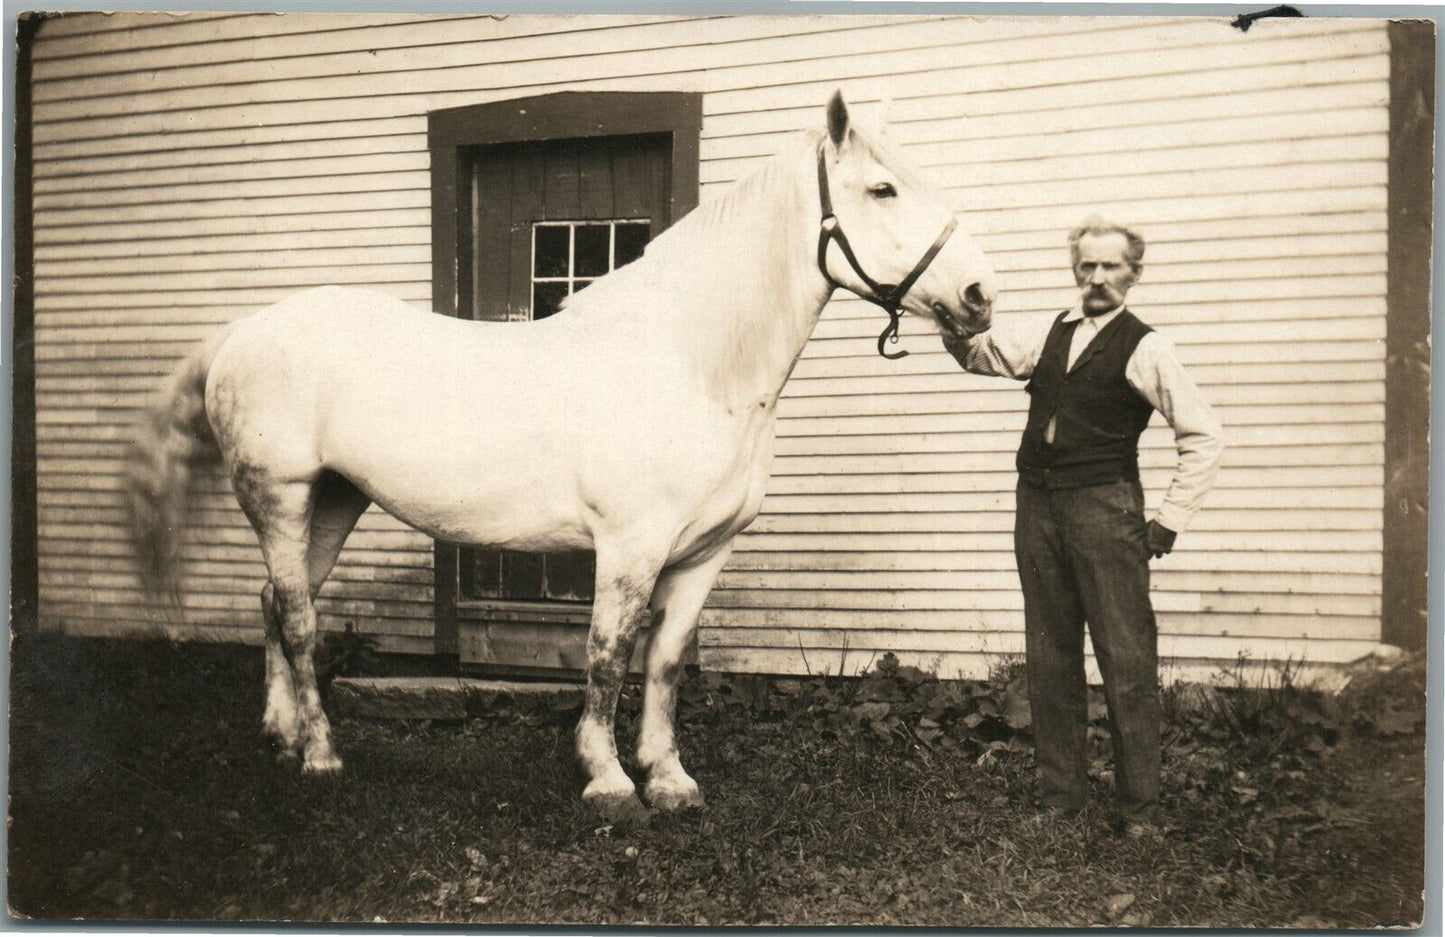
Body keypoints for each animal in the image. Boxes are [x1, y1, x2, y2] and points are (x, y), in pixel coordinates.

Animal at [124, 91, 997, 824]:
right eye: (882, 189)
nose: (981, 295)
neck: (687, 362)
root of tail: (243, 330)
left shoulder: (703, 552)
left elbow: (665, 662)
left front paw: (668, 777)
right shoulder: (629, 546)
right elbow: (608, 656)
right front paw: (607, 778)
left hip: (336, 497)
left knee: (277, 601)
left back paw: (279, 733)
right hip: (280, 494)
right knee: (300, 618)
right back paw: (320, 753)